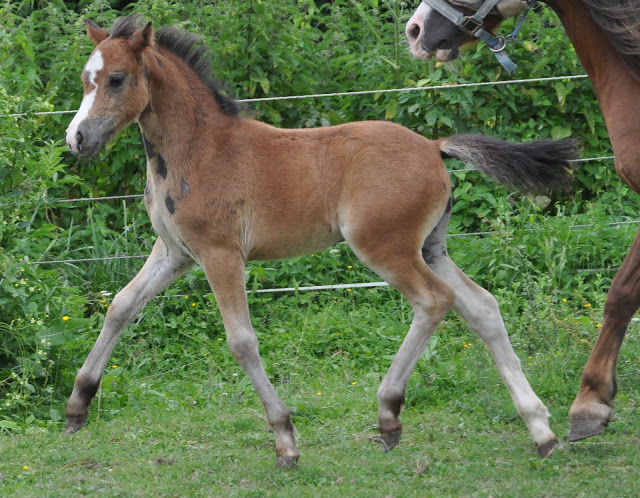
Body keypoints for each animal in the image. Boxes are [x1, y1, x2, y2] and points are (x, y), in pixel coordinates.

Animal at [65, 15, 580, 466]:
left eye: (116, 79)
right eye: (86, 80)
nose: (77, 138)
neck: (199, 148)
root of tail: (435, 148)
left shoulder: (220, 254)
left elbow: (241, 341)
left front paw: (286, 442)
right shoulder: (175, 253)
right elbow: (122, 306)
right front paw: (78, 406)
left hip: (384, 246)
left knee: (435, 301)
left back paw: (389, 415)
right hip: (430, 248)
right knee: (482, 306)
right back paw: (541, 430)